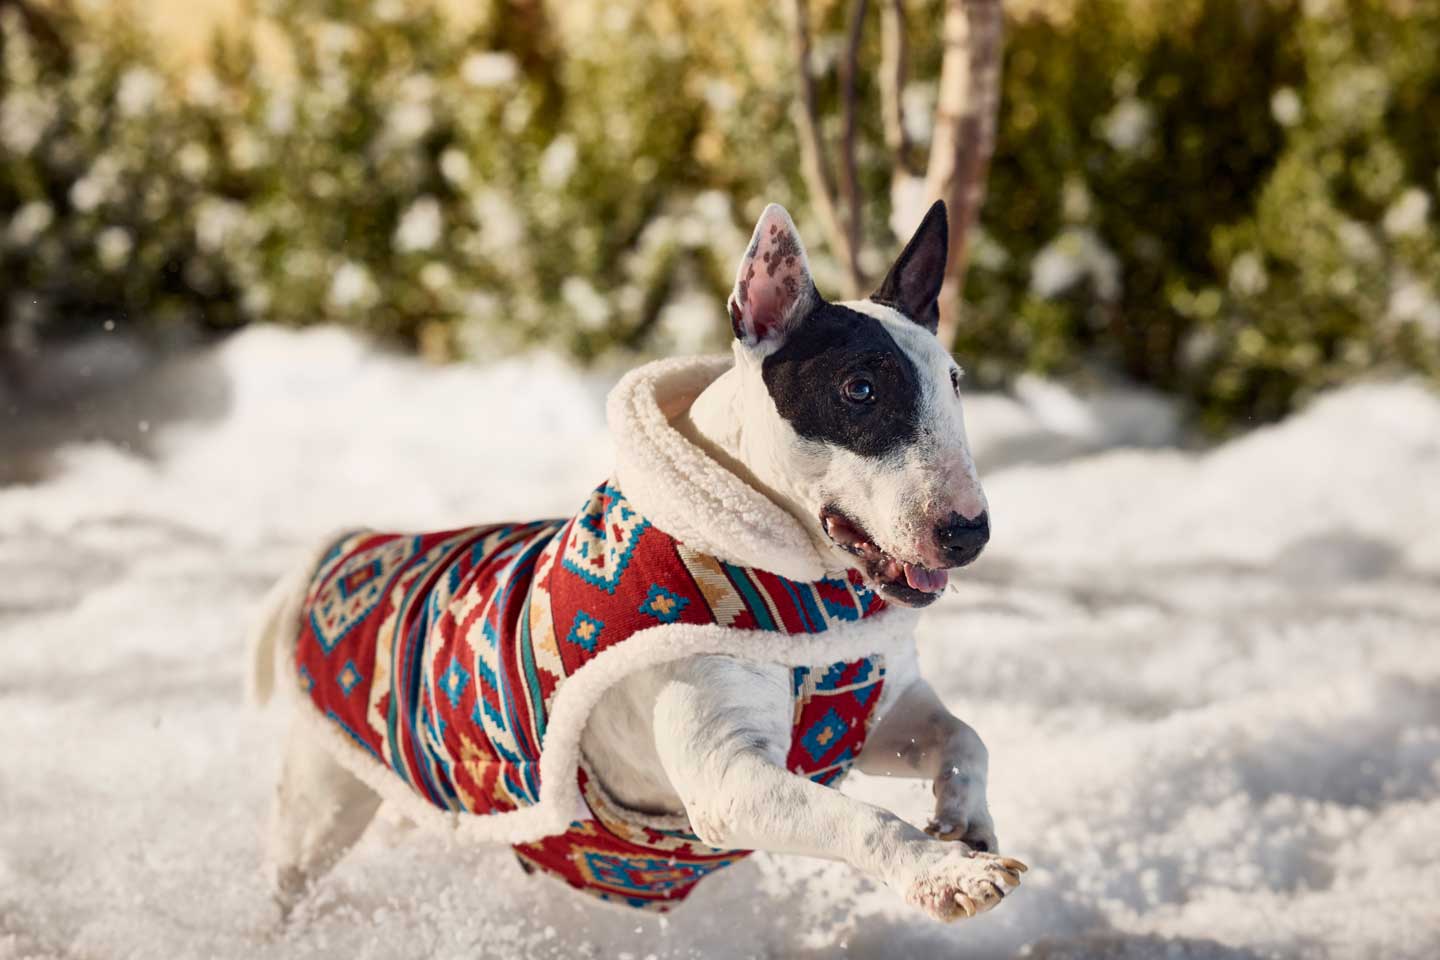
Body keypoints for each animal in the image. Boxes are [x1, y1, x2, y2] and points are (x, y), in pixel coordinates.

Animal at [253, 201, 1031, 921]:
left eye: (954, 381)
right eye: (859, 389)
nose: (969, 533)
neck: (805, 597)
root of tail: (342, 550)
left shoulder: (874, 716)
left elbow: (966, 735)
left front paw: (966, 825)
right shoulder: (726, 777)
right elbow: (862, 818)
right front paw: (948, 875)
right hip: (325, 797)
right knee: (291, 871)